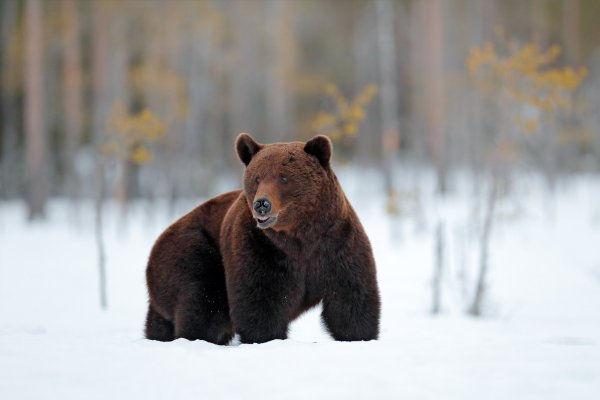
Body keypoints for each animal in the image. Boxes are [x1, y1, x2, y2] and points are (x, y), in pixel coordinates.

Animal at [145, 132, 380, 344]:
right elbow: (260, 302)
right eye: (257, 178)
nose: (262, 204)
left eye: (284, 177)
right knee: (202, 305)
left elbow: (351, 298)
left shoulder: (336, 244)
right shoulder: (262, 248)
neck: (300, 236)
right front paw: (266, 338)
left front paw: (357, 336)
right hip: (194, 254)